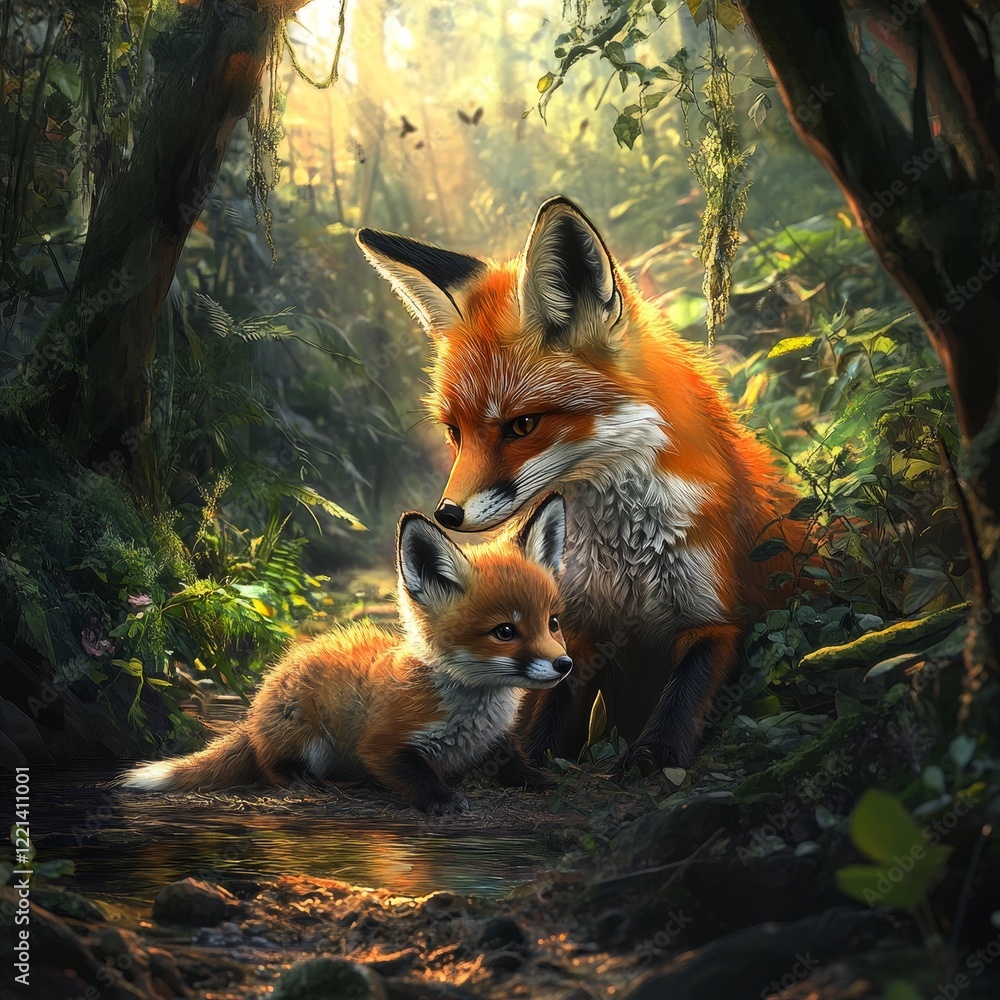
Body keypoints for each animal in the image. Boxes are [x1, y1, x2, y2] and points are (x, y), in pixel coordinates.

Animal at [120, 494, 572, 814]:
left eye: (552, 622)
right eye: (505, 631)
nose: (564, 665)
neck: (471, 714)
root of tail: (258, 704)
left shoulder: (495, 740)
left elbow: (512, 762)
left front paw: (542, 778)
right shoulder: (381, 744)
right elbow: (414, 773)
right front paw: (441, 799)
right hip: (308, 740)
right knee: (268, 764)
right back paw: (301, 779)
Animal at [357, 196, 805, 771]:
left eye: (522, 425)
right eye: (455, 432)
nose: (447, 515)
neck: (625, 564)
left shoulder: (717, 615)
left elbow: (684, 695)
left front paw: (654, 754)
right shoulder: (574, 624)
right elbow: (552, 705)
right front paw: (535, 756)